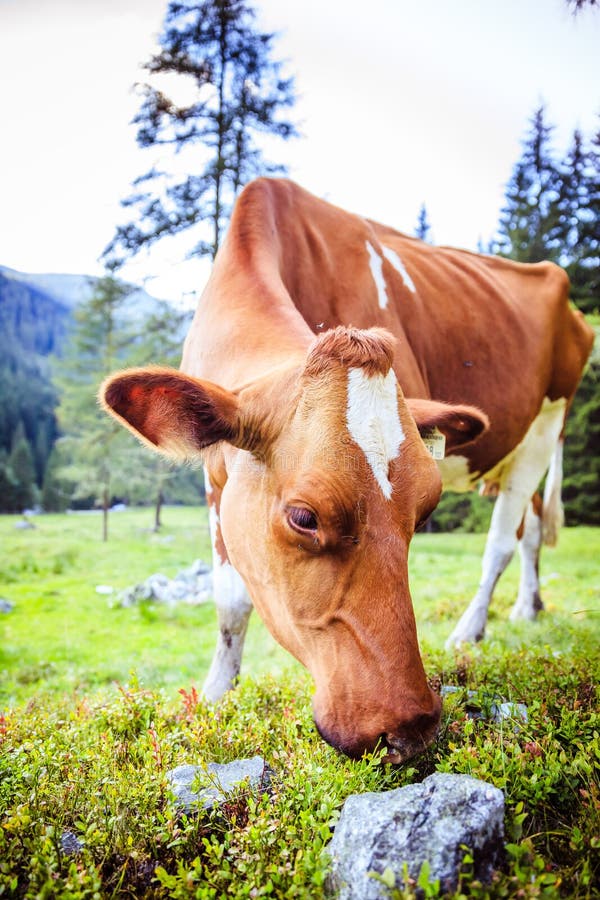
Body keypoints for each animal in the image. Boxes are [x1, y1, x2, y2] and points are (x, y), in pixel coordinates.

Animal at [101, 179, 592, 764]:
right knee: (532, 529)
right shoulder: (214, 476)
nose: (409, 726)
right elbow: (230, 600)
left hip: (546, 425)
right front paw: (216, 694)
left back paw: (470, 632)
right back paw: (528, 609)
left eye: (425, 511)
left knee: (500, 540)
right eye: (304, 517)